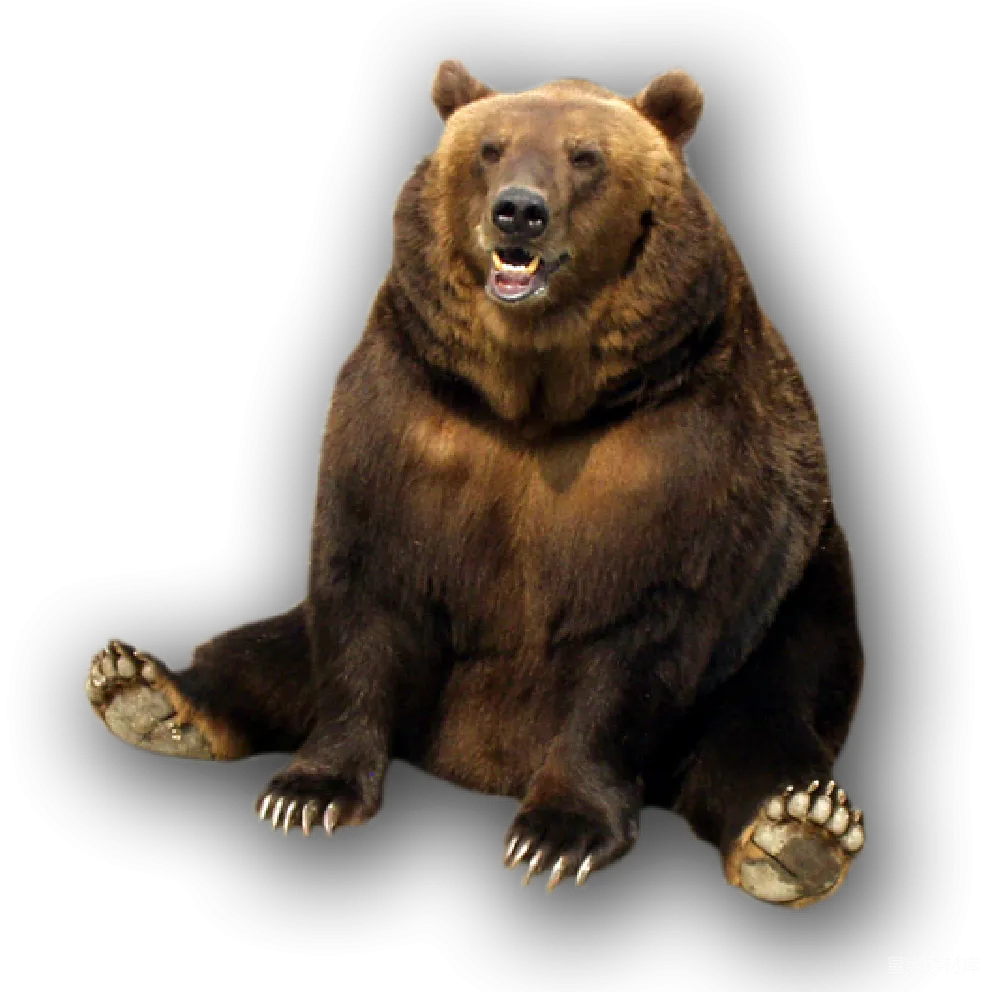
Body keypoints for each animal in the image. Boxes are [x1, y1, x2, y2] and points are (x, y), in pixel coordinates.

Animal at [82, 56, 867, 909]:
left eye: (586, 156)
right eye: (490, 148)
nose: (518, 212)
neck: (535, 396)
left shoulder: (676, 447)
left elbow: (643, 626)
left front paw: (556, 836)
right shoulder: (411, 415)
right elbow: (365, 584)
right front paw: (309, 792)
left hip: (801, 609)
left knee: (761, 732)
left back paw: (799, 832)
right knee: (265, 648)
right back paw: (142, 688)